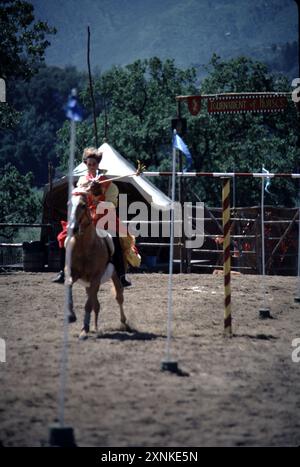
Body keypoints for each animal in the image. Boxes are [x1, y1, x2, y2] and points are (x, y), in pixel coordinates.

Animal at [65, 194, 127, 340]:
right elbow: (69, 285)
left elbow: (88, 305)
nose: (73, 228)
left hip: (114, 278)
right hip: (89, 285)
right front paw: (71, 315)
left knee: (119, 297)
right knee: (96, 304)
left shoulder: (95, 278)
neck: (84, 247)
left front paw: (84, 330)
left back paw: (123, 323)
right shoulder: (72, 273)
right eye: (68, 204)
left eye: (83, 205)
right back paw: (95, 327)